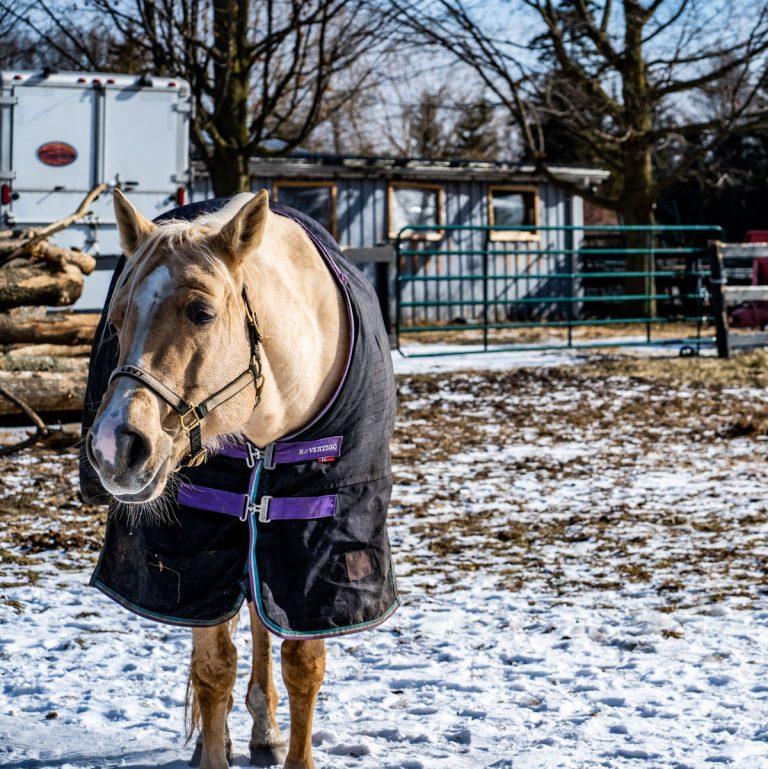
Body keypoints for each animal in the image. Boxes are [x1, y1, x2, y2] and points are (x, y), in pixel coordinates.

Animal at [84, 189, 395, 769]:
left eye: (201, 312)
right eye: (115, 317)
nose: (115, 444)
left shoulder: (314, 544)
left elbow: (301, 664)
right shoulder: (200, 536)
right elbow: (212, 668)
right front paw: (212, 748)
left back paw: (264, 730)